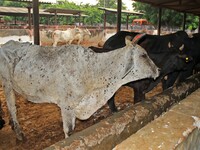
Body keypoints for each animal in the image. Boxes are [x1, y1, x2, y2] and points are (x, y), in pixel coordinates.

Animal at [0, 38, 159, 139]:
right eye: (144, 55)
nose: (158, 69)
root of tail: (6, 43)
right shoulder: (66, 105)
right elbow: (69, 131)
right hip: (7, 83)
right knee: (12, 107)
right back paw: (19, 133)